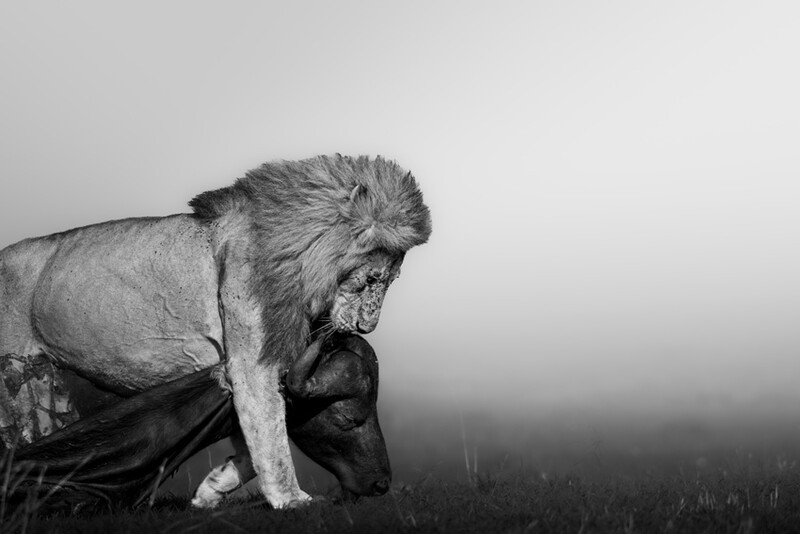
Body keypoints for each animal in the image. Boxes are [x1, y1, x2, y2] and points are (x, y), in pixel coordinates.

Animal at [0, 154, 430, 509]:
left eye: (391, 280)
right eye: (371, 279)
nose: (367, 328)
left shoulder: (248, 368)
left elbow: (252, 439)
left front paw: (212, 490)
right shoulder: (253, 363)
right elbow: (271, 437)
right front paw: (292, 500)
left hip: (45, 378)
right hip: (11, 371)